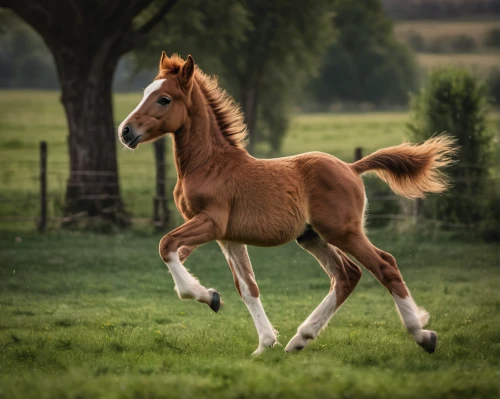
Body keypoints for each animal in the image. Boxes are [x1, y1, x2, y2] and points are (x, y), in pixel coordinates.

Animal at [118, 53, 458, 356]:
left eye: (164, 99)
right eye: (146, 92)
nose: (125, 131)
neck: (209, 163)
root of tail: (351, 168)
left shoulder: (212, 222)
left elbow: (166, 245)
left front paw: (210, 296)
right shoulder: (227, 237)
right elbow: (246, 286)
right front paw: (263, 342)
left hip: (342, 231)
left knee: (385, 265)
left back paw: (423, 335)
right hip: (311, 236)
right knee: (347, 275)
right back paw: (299, 339)